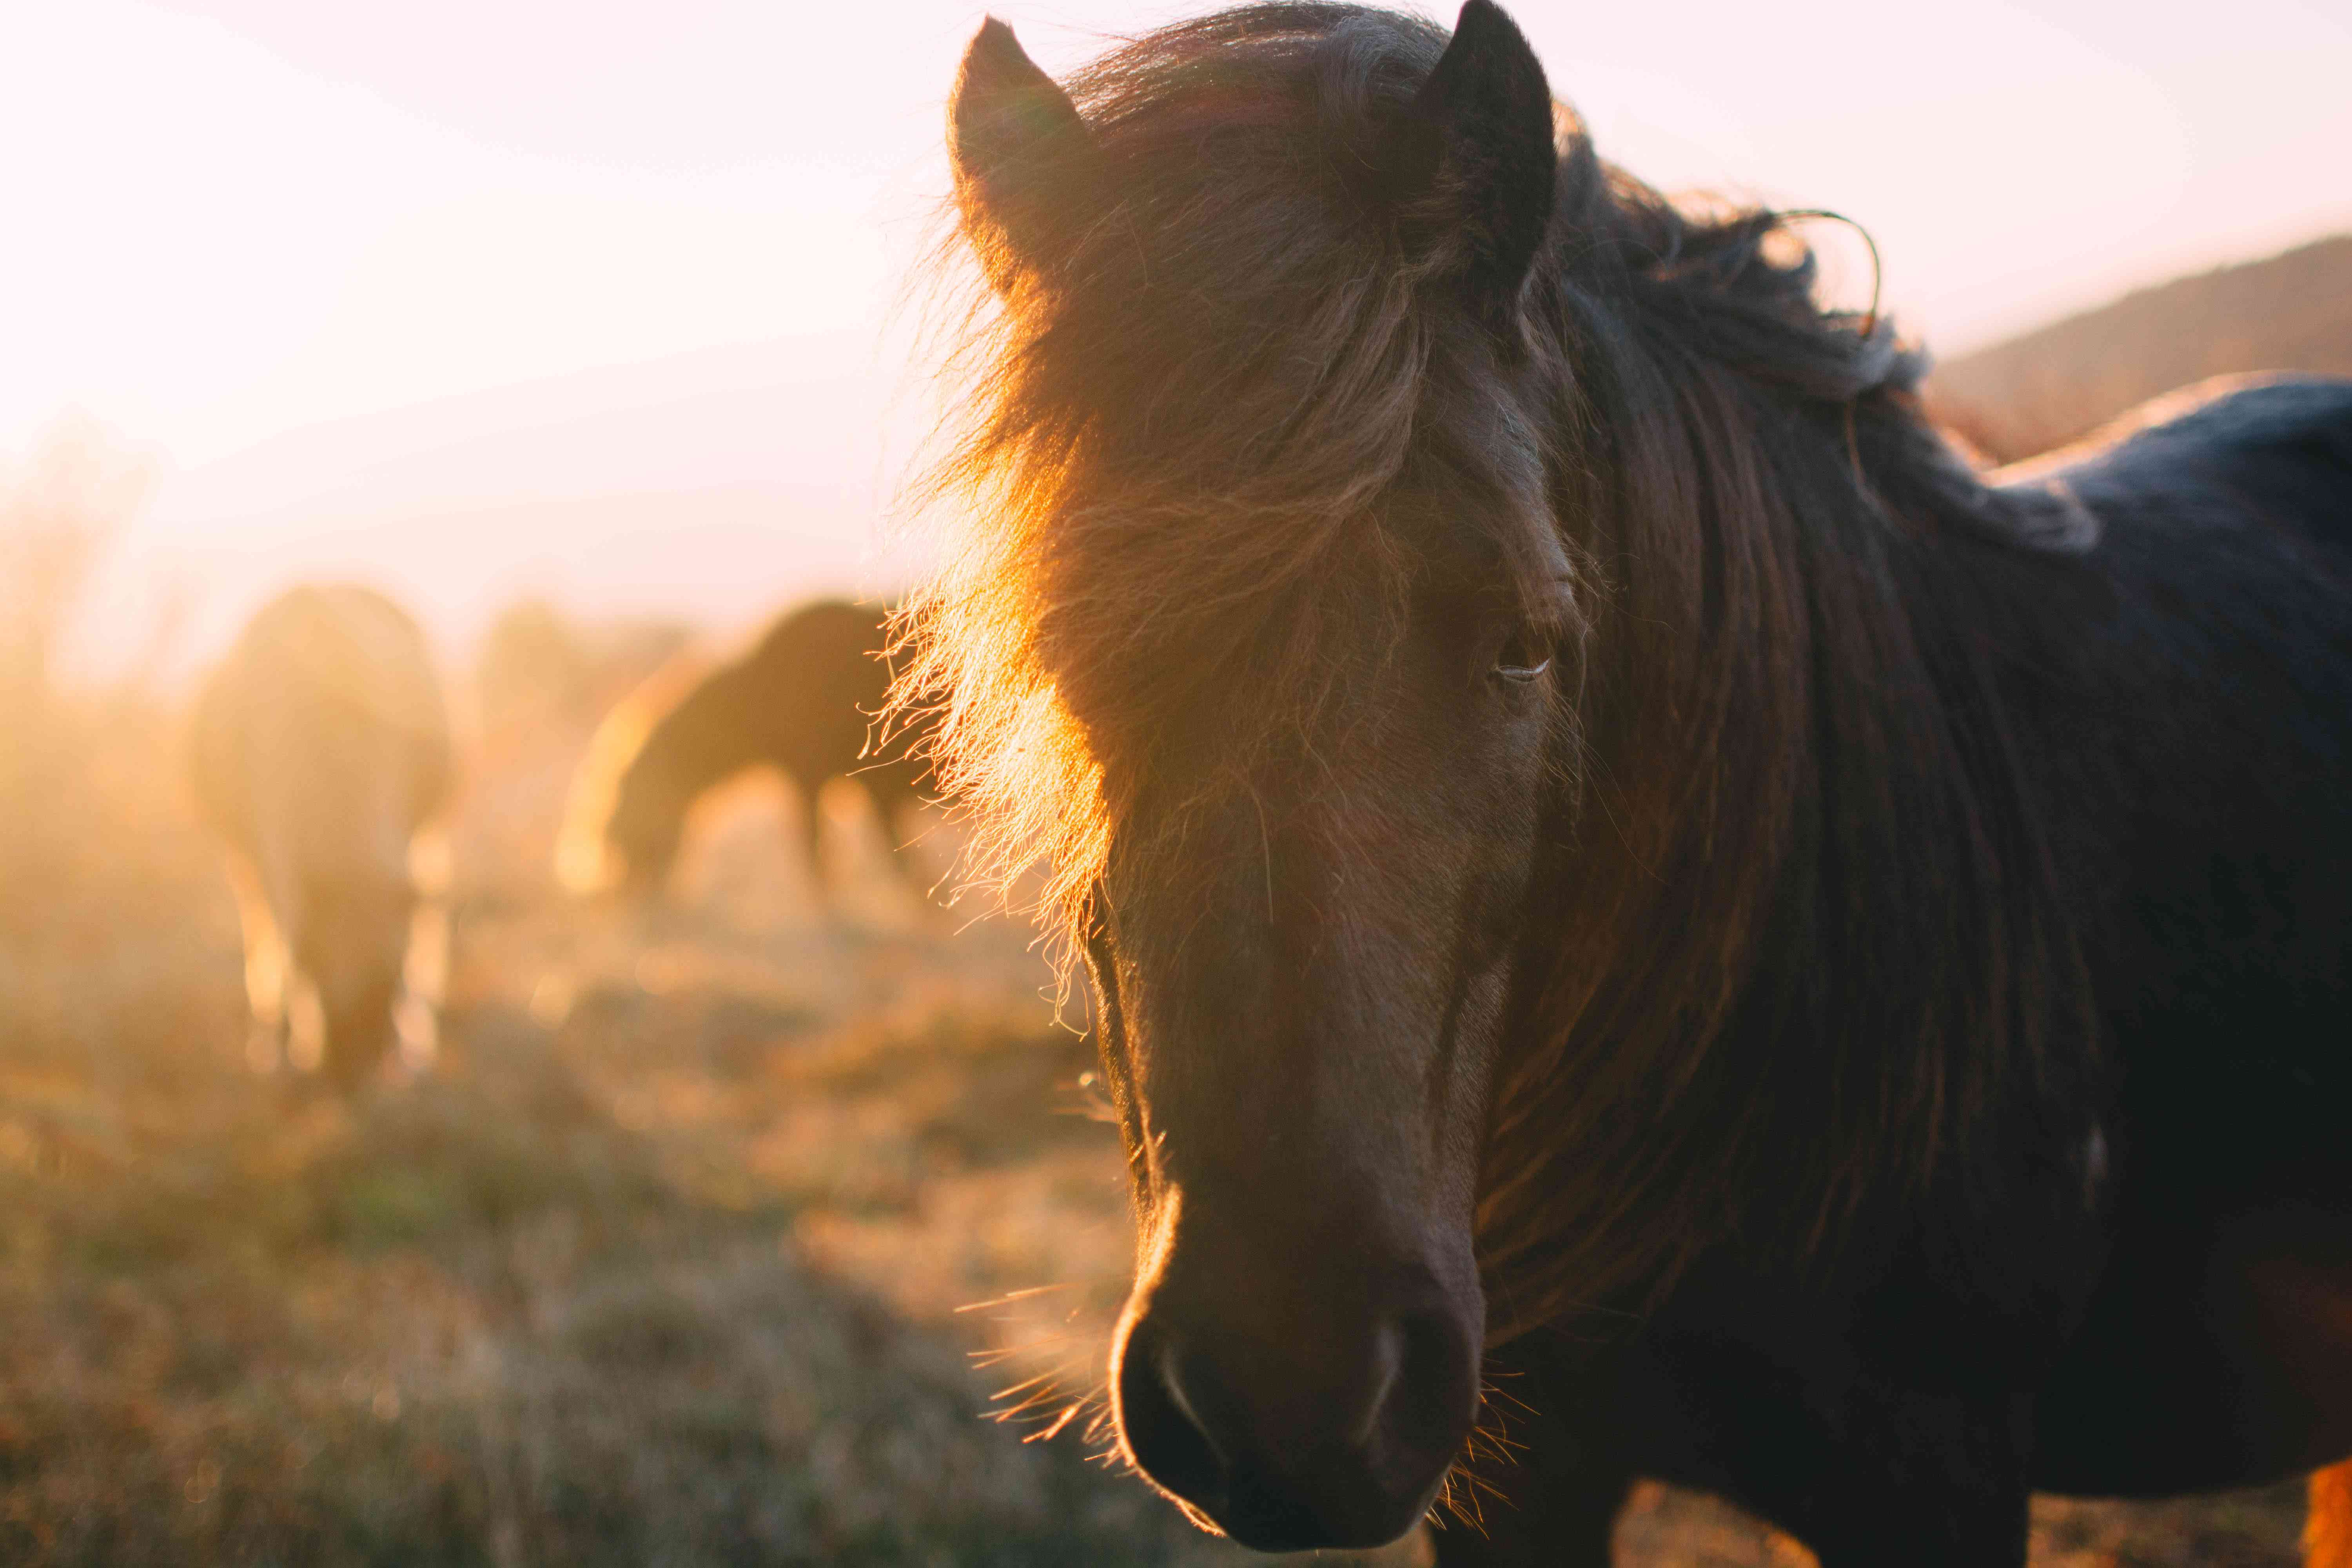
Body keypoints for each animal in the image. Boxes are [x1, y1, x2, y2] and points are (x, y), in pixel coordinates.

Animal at [191, 583, 452, 1100]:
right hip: (243, 859)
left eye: (391, 975)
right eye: (310, 961)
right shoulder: (269, 852)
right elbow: (276, 945)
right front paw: (282, 1051)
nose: (351, 1069)